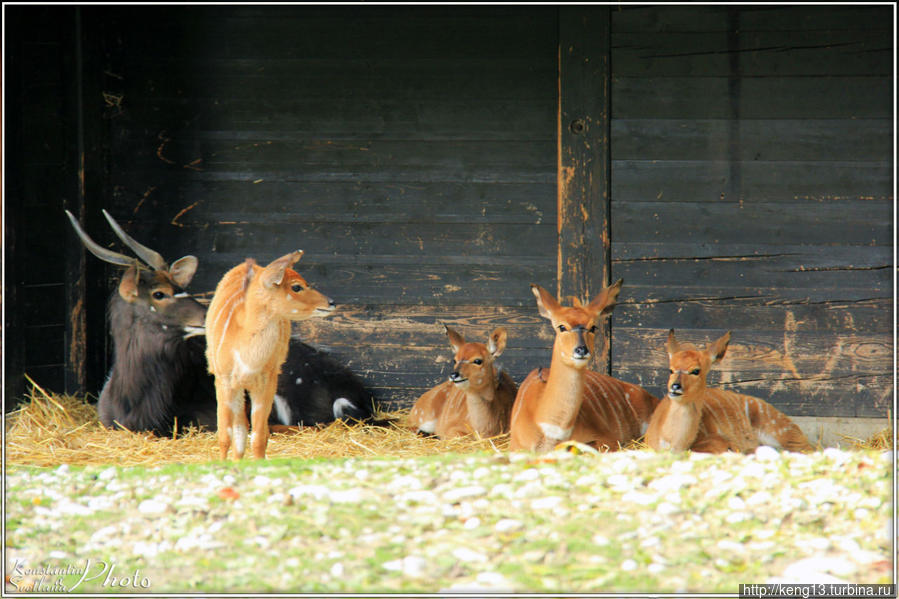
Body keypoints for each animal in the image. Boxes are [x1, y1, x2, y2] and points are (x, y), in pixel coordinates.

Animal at [206, 251, 340, 462]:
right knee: (239, 428)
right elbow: (225, 435)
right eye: (296, 286)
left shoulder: (266, 382)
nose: (331, 302)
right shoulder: (224, 381)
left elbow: (259, 436)